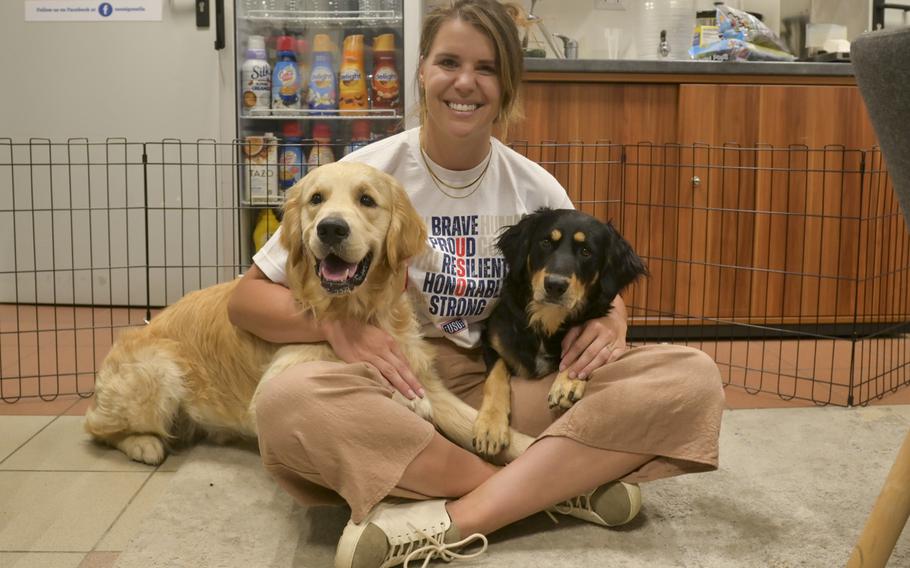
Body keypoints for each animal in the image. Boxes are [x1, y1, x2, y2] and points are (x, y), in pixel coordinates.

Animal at [470, 209, 648, 458]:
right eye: (545, 242)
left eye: (586, 252)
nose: (554, 285)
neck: (547, 319)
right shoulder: (492, 340)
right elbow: (496, 375)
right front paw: (490, 426)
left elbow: (578, 355)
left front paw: (567, 382)